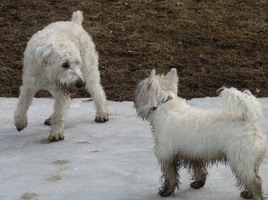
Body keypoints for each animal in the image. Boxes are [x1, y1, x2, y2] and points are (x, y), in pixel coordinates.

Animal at [14, 10, 108, 142]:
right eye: (65, 64)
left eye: (78, 63)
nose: (80, 84)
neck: (47, 72)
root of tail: (75, 23)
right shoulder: (29, 85)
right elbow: (22, 103)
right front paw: (20, 122)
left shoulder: (62, 90)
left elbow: (59, 112)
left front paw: (56, 133)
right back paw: (50, 118)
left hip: (89, 72)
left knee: (98, 91)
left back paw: (102, 113)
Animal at [134, 69, 266, 200]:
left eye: (139, 88)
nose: (133, 96)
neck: (163, 104)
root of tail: (247, 120)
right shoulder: (194, 152)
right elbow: (198, 169)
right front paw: (198, 183)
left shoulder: (167, 154)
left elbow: (170, 175)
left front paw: (166, 191)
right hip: (249, 161)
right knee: (254, 177)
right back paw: (248, 194)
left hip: (240, 160)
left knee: (255, 181)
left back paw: (255, 195)